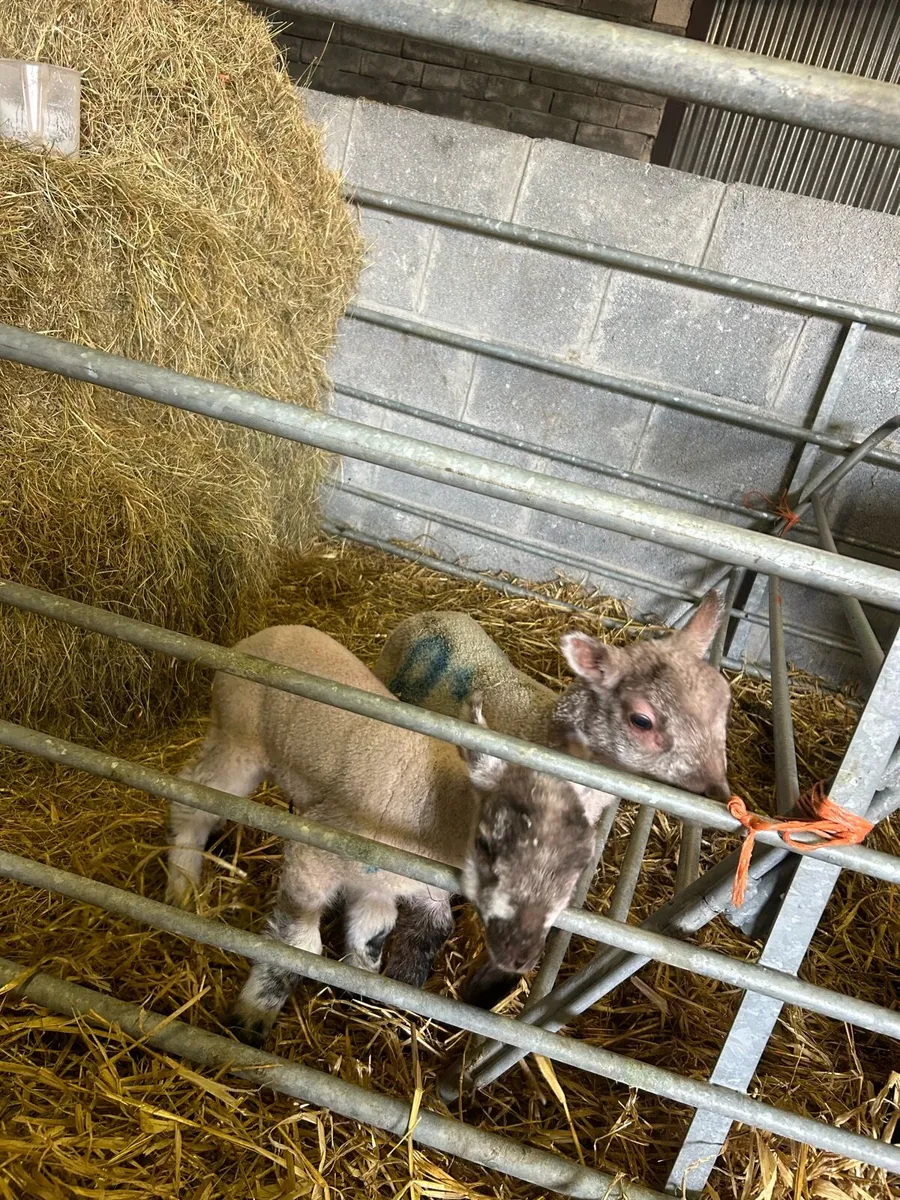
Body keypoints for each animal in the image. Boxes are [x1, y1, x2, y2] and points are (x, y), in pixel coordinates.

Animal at [165, 625, 597, 1045]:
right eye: (491, 843)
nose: (520, 959)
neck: (442, 809)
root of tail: (268, 632)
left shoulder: (385, 884)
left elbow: (373, 933)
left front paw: (360, 992)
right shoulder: (315, 857)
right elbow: (299, 946)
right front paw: (251, 1019)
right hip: (238, 737)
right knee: (193, 797)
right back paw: (182, 884)